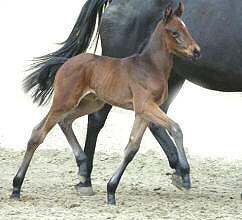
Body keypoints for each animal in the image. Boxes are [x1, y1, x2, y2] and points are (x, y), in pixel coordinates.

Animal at [10, 3, 200, 205]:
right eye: (174, 32)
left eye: (187, 29)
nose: (196, 51)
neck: (151, 67)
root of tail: (66, 62)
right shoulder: (145, 106)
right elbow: (176, 128)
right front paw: (185, 173)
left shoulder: (142, 112)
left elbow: (132, 148)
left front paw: (111, 190)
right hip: (64, 101)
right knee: (39, 134)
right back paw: (16, 187)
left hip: (89, 103)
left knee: (62, 122)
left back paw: (82, 172)